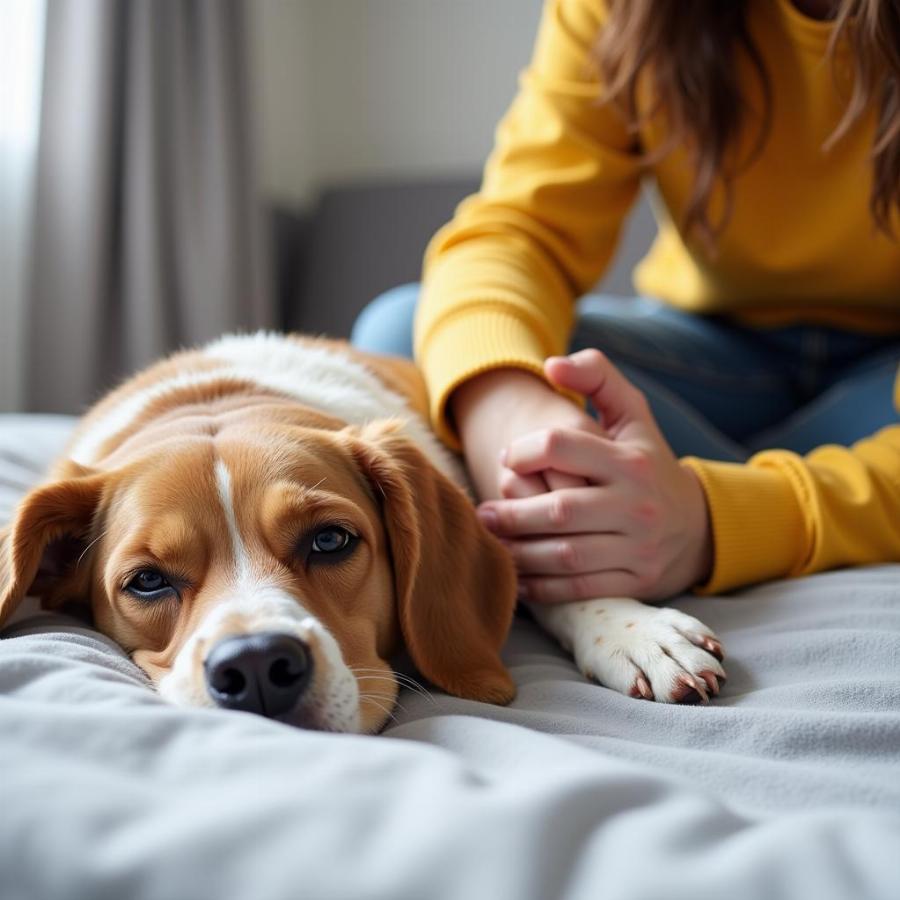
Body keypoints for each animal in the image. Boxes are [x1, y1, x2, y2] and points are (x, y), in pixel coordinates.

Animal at [0, 334, 720, 736]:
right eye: (147, 581)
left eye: (329, 541)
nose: (256, 666)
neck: (217, 397)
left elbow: (557, 561)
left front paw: (633, 631)